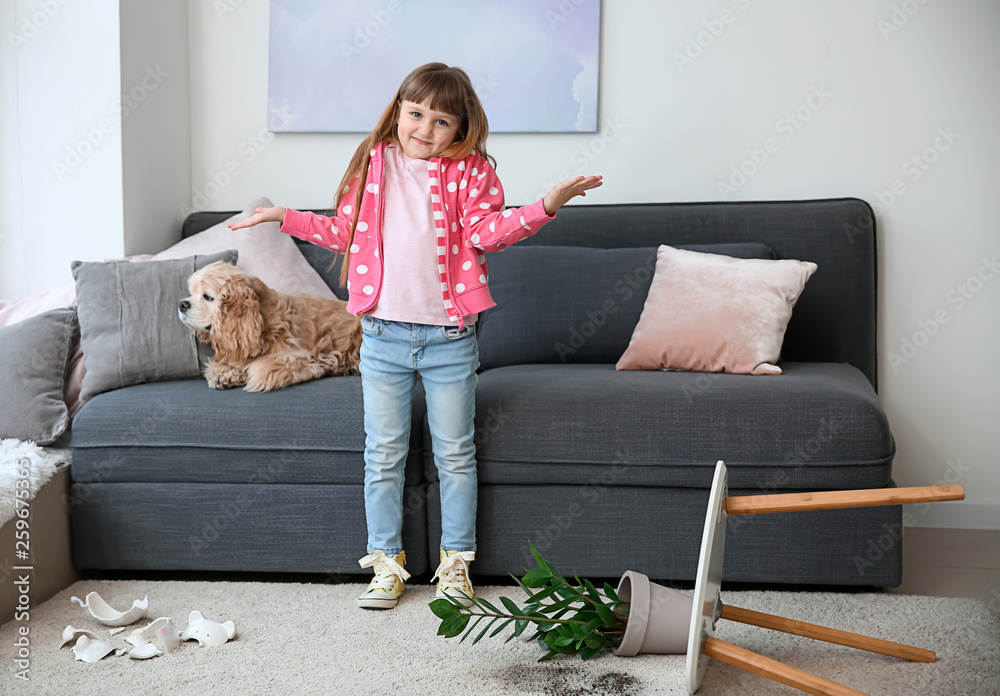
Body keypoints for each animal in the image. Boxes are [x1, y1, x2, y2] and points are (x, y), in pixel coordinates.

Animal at [178, 260, 362, 392]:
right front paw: (226, 375)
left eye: (208, 297)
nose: (181, 304)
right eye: (191, 293)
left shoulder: (297, 357)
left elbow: (258, 367)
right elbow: (218, 366)